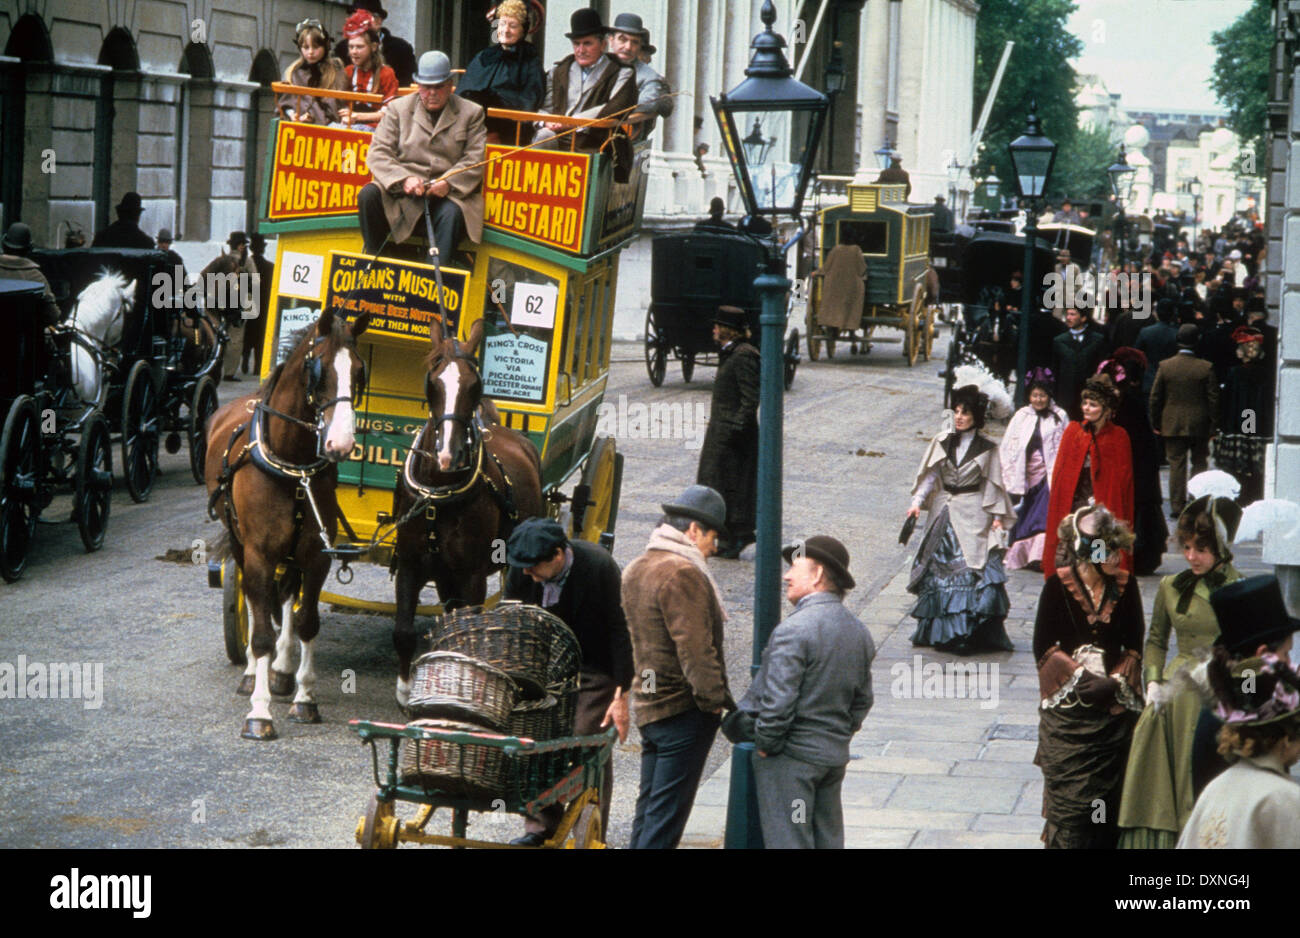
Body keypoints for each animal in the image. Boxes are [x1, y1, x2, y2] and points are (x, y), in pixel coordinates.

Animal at [202, 306, 374, 737]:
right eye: (318, 369)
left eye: (359, 371)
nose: (341, 443)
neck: (294, 467)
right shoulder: (260, 554)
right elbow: (262, 628)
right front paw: (259, 713)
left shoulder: (316, 555)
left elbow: (307, 619)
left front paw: (304, 699)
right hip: (241, 544)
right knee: (255, 603)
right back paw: (253, 674)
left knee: (287, 600)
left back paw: (280, 671)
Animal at [390, 318, 543, 706]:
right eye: (432, 380)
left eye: (476, 384)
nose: (448, 454)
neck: (437, 493)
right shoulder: (410, 564)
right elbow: (403, 631)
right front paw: (405, 689)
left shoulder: (472, 575)